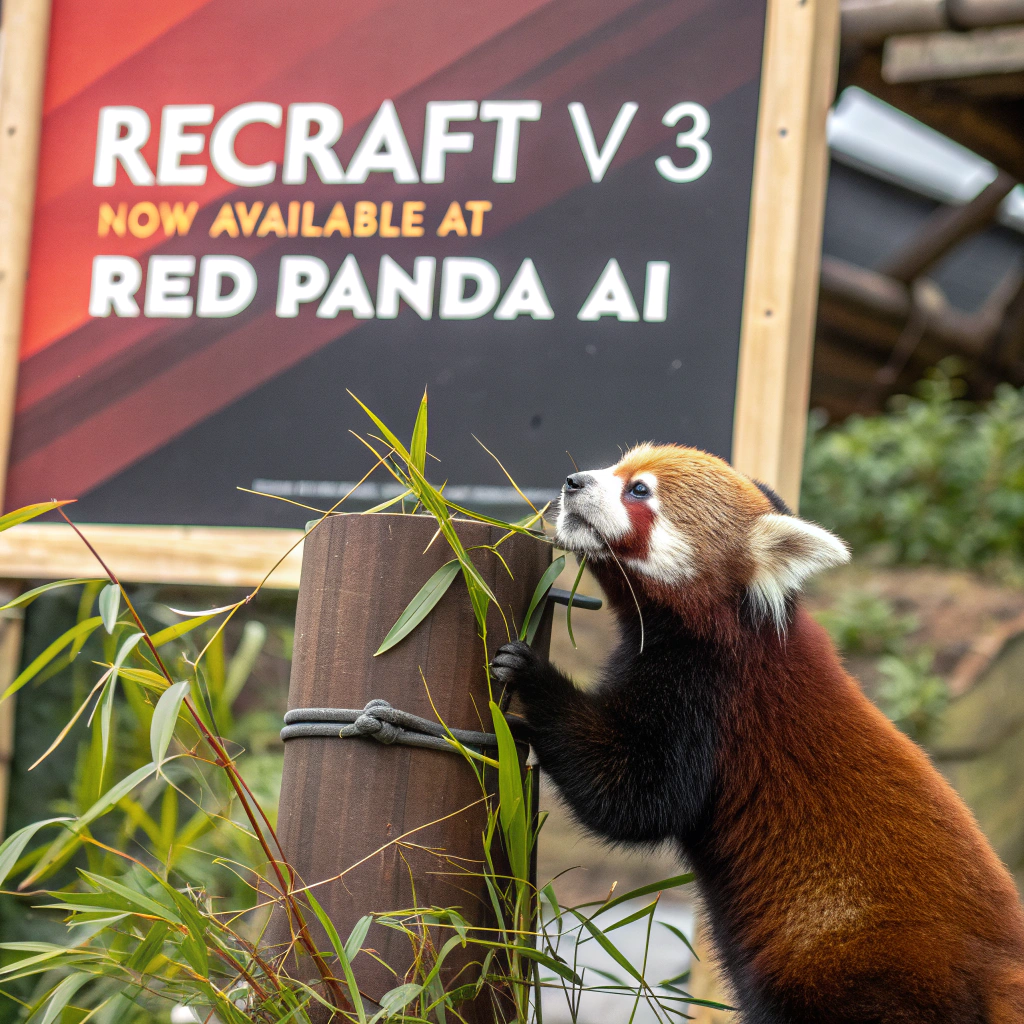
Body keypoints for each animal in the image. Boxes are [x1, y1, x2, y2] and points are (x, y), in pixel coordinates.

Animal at [491, 443, 1024, 1024]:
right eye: (617, 468)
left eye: (639, 490)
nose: (573, 481)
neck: (735, 623)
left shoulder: (713, 700)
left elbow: (637, 797)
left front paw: (531, 682)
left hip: (857, 972)